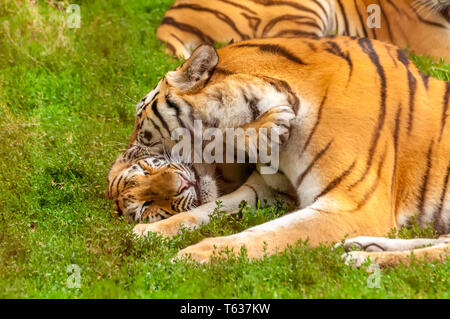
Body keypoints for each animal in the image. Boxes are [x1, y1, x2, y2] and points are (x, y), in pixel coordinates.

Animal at [107, 36, 448, 268]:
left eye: (140, 123)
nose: (126, 156)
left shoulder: (352, 207)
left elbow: (264, 234)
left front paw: (193, 254)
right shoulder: (269, 189)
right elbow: (204, 210)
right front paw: (148, 232)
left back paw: (364, 261)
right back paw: (365, 248)